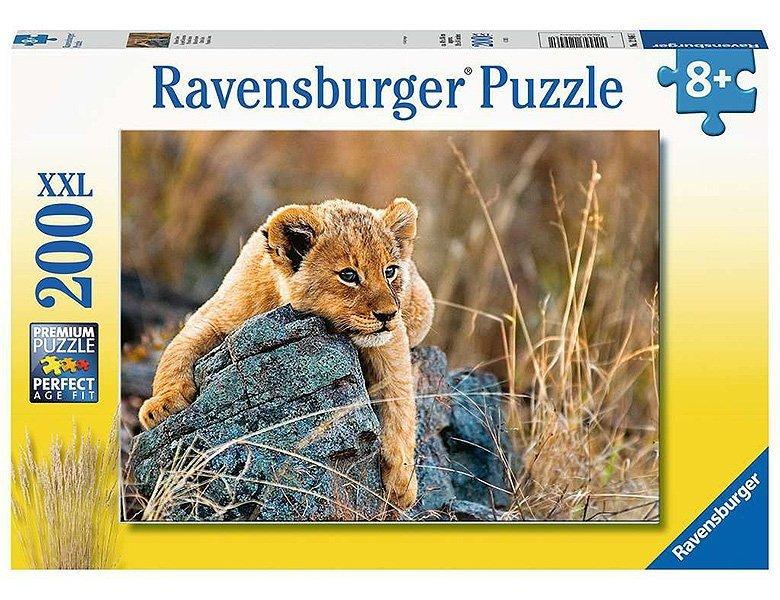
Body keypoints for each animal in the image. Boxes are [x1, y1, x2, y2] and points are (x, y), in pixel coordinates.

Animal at [138, 198, 434, 509]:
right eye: (348, 275)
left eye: (390, 271)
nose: (388, 314)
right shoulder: (213, 315)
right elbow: (177, 350)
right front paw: (161, 405)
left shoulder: (391, 341)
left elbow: (399, 400)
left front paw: (402, 481)